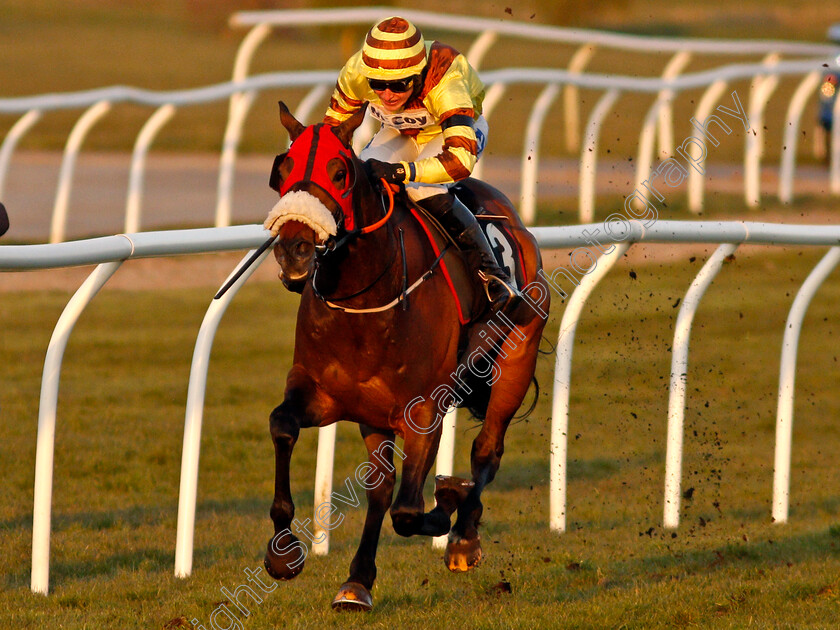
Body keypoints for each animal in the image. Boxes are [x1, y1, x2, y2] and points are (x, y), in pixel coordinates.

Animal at [262, 102, 552, 612]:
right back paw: (357, 581)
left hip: (517, 360)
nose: (294, 250)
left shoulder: (422, 411)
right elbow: (283, 426)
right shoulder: (324, 394)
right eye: (282, 170)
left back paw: (463, 538)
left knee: (487, 452)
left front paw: (450, 501)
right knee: (380, 489)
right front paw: (283, 553)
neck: (365, 298)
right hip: (373, 416)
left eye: (340, 172)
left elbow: (410, 510)